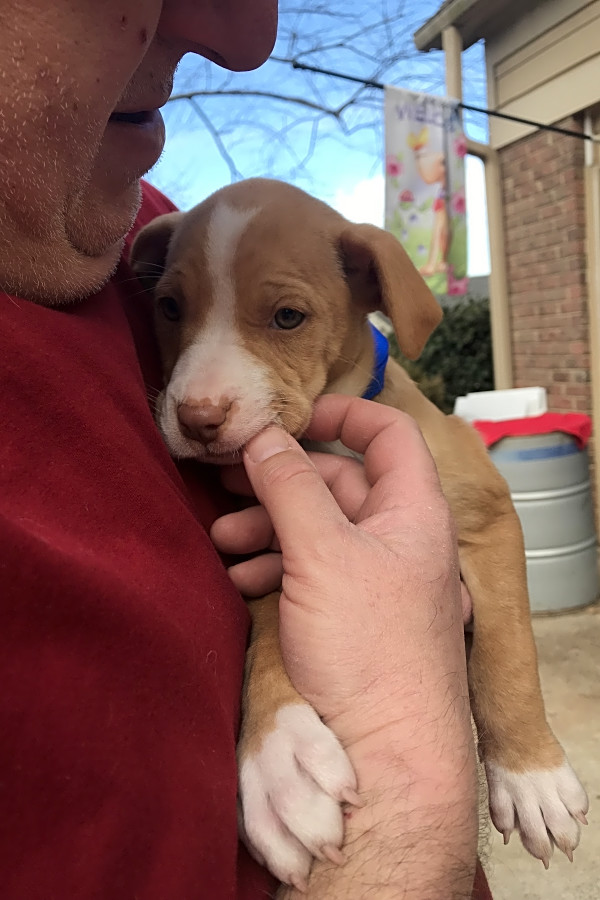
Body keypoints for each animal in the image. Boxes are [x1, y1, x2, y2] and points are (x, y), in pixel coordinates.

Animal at [130, 176, 584, 884]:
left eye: (289, 317)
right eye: (171, 308)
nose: (198, 418)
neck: (326, 441)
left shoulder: (487, 515)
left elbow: (507, 649)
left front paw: (530, 774)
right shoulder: (277, 543)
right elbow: (271, 630)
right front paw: (279, 754)